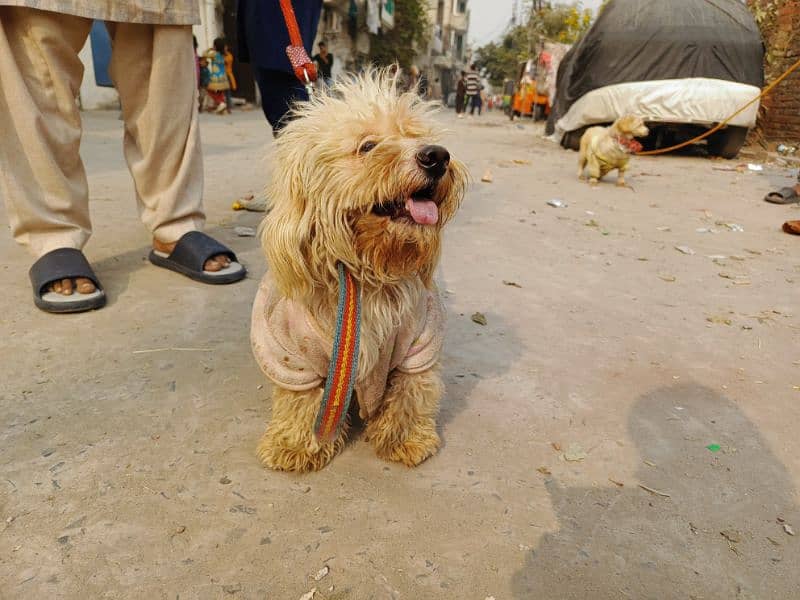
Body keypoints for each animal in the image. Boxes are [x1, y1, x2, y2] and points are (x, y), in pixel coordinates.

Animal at [247, 71, 466, 474]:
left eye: (415, 135)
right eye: (367, 146)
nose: (437, 156)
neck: (366, 272)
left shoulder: (419, 343)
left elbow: (412, 391)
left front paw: (404, 437)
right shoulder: (292, 357)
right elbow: (300, 401)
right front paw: (296, 444)